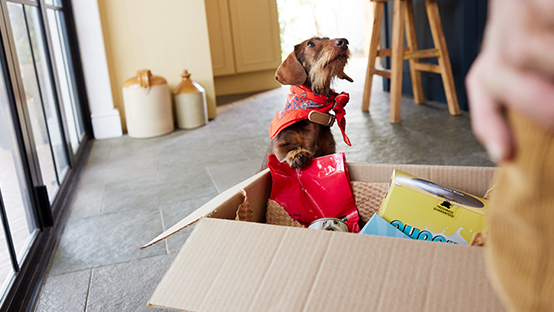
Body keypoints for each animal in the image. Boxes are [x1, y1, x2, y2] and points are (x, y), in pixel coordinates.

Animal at [260, 37, 352, 171]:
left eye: (328, 38)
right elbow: (287, 149)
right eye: (310, 44)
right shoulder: (280, 144)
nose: (344, 42)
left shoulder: (329, 150)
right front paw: (297, 154)